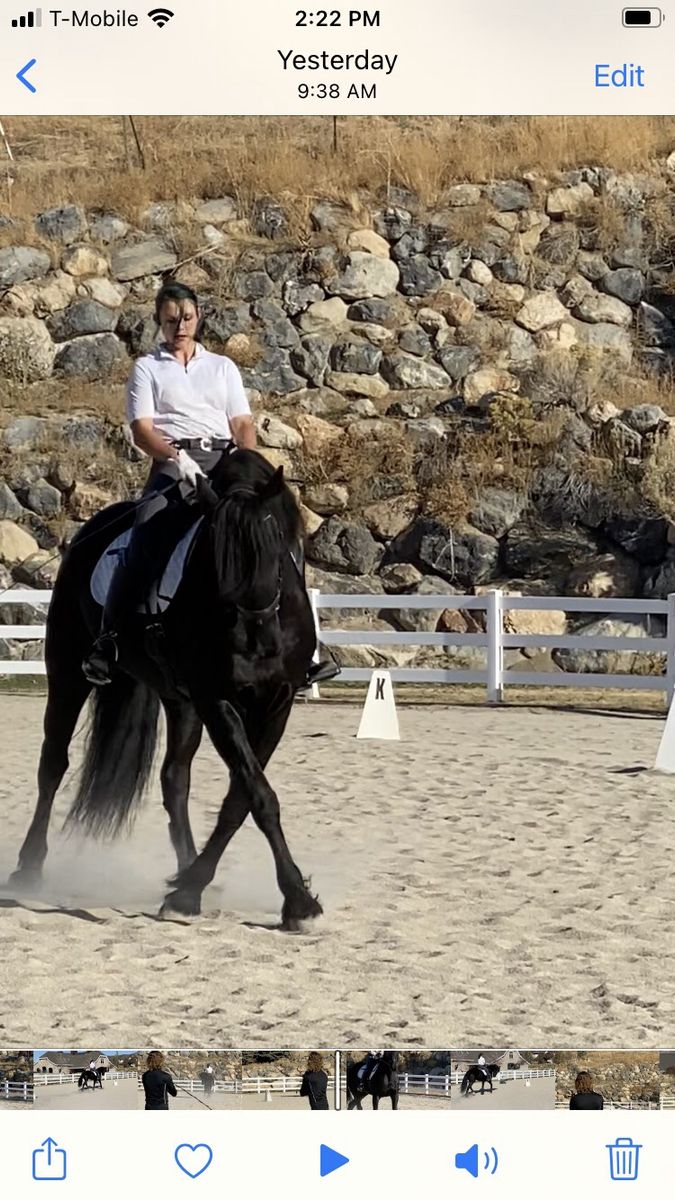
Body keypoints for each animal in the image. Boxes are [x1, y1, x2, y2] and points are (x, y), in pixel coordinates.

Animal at [9, 449, 323, 929]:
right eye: (214, 557)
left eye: (276, 546)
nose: (256, 644)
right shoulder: (217, 699)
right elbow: (260, 795)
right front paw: (296, 900)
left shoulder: (276, 703)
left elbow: (242, 798)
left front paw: (192, 889)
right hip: (68, 675)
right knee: (53, 766)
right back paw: (28, 868)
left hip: (181, 701)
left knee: (175, 779)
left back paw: (187, 869)